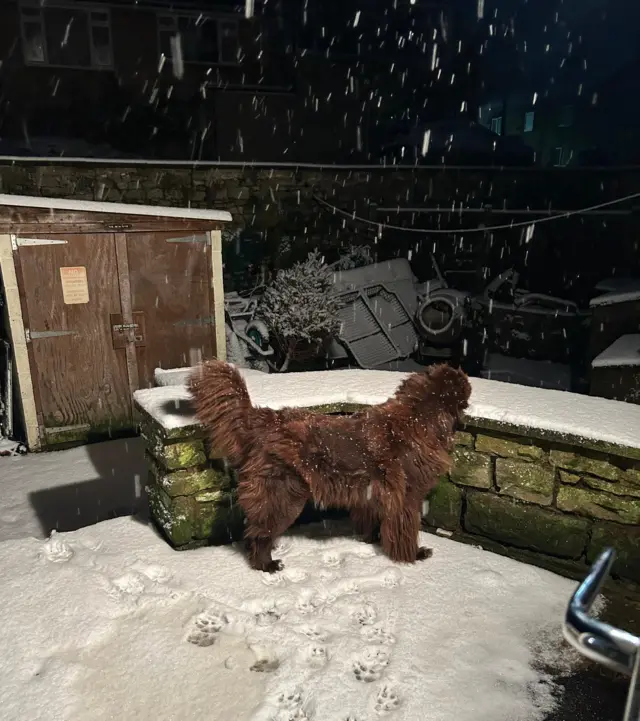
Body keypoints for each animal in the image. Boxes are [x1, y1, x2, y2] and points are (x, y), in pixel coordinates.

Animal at [189, 362, 470, 572]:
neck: (419, 418)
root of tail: (262, 418)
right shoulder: (407, 498)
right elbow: (405, 532)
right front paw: (413, 556)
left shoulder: (373, 496)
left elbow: (373, 521)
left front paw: (371, 541)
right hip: (283, 496)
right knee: (259, 534)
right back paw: (267, 564)